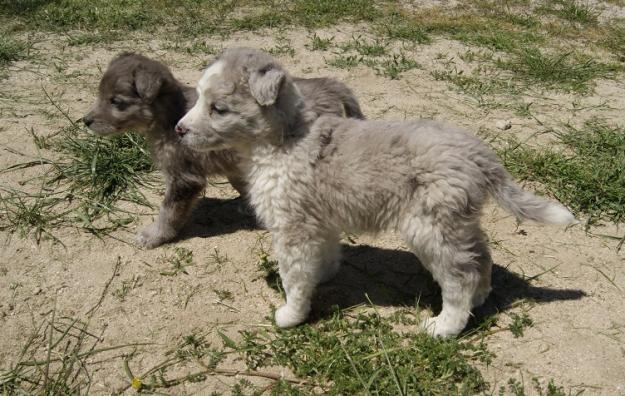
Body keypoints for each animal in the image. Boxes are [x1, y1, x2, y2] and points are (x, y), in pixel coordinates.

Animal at [83, 53, 366, 249]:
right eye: (99, 94)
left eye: (116, 102)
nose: (85, 121)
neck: (170, 116)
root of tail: (329, 86)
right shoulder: (232, 164)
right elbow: (242, 183)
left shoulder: (184, 179)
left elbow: (168, 212)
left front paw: (154, 236)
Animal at [176, 47, 576, 338]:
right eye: (199, 98)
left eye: (218, 108)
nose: (179, 130)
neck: (285, 139)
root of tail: (478, 152)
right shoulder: (318, 221)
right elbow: (323, 256)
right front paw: (323, 275)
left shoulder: (293, 227)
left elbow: (293, 276)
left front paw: (290, 314)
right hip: (457, 222)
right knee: (480, 257)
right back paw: (479, 298)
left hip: (429, 227)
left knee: (459, 276)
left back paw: (444, 327)